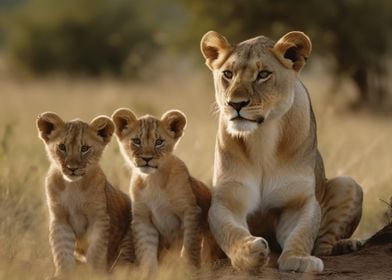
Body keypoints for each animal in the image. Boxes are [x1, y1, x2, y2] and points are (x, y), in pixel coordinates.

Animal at [201, 31, 362, 274]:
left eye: (263, 74)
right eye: (228, 74)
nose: (235, 104)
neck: (261, 136)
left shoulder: (298, 202)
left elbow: (301, 234)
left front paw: (299, 259)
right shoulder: (227, 200)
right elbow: (231, 232)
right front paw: (249, 251)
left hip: (348, 184)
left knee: (323, 244)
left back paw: (346, 245)